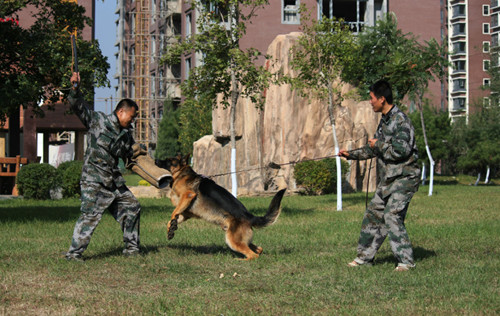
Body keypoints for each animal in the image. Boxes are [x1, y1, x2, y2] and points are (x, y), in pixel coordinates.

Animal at [158, 154, 288, 260]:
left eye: (168, 161)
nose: (156, 160)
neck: (182, 174)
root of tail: (250, 217)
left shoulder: (188, 195)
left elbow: (174, 212)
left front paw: (172, 224)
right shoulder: (186, 212)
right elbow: (173, 217)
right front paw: (171, 228)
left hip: (232, 240)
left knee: (253, 255)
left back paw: (240, 260)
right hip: (240, 238)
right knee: (259, 249)